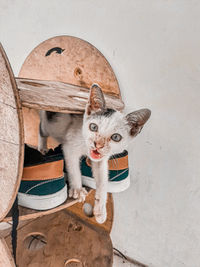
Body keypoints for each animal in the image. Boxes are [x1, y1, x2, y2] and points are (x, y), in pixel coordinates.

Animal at [38, 85, 151, 223]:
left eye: (116, 137)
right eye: (93, 127)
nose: (98, 144)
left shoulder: (101, 159)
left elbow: (102, 180)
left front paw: (100, 209)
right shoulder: (70, 146)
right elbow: (74, 168)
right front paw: (78, 189)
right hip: (48, 123)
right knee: (41, 128)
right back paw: (42, 147)